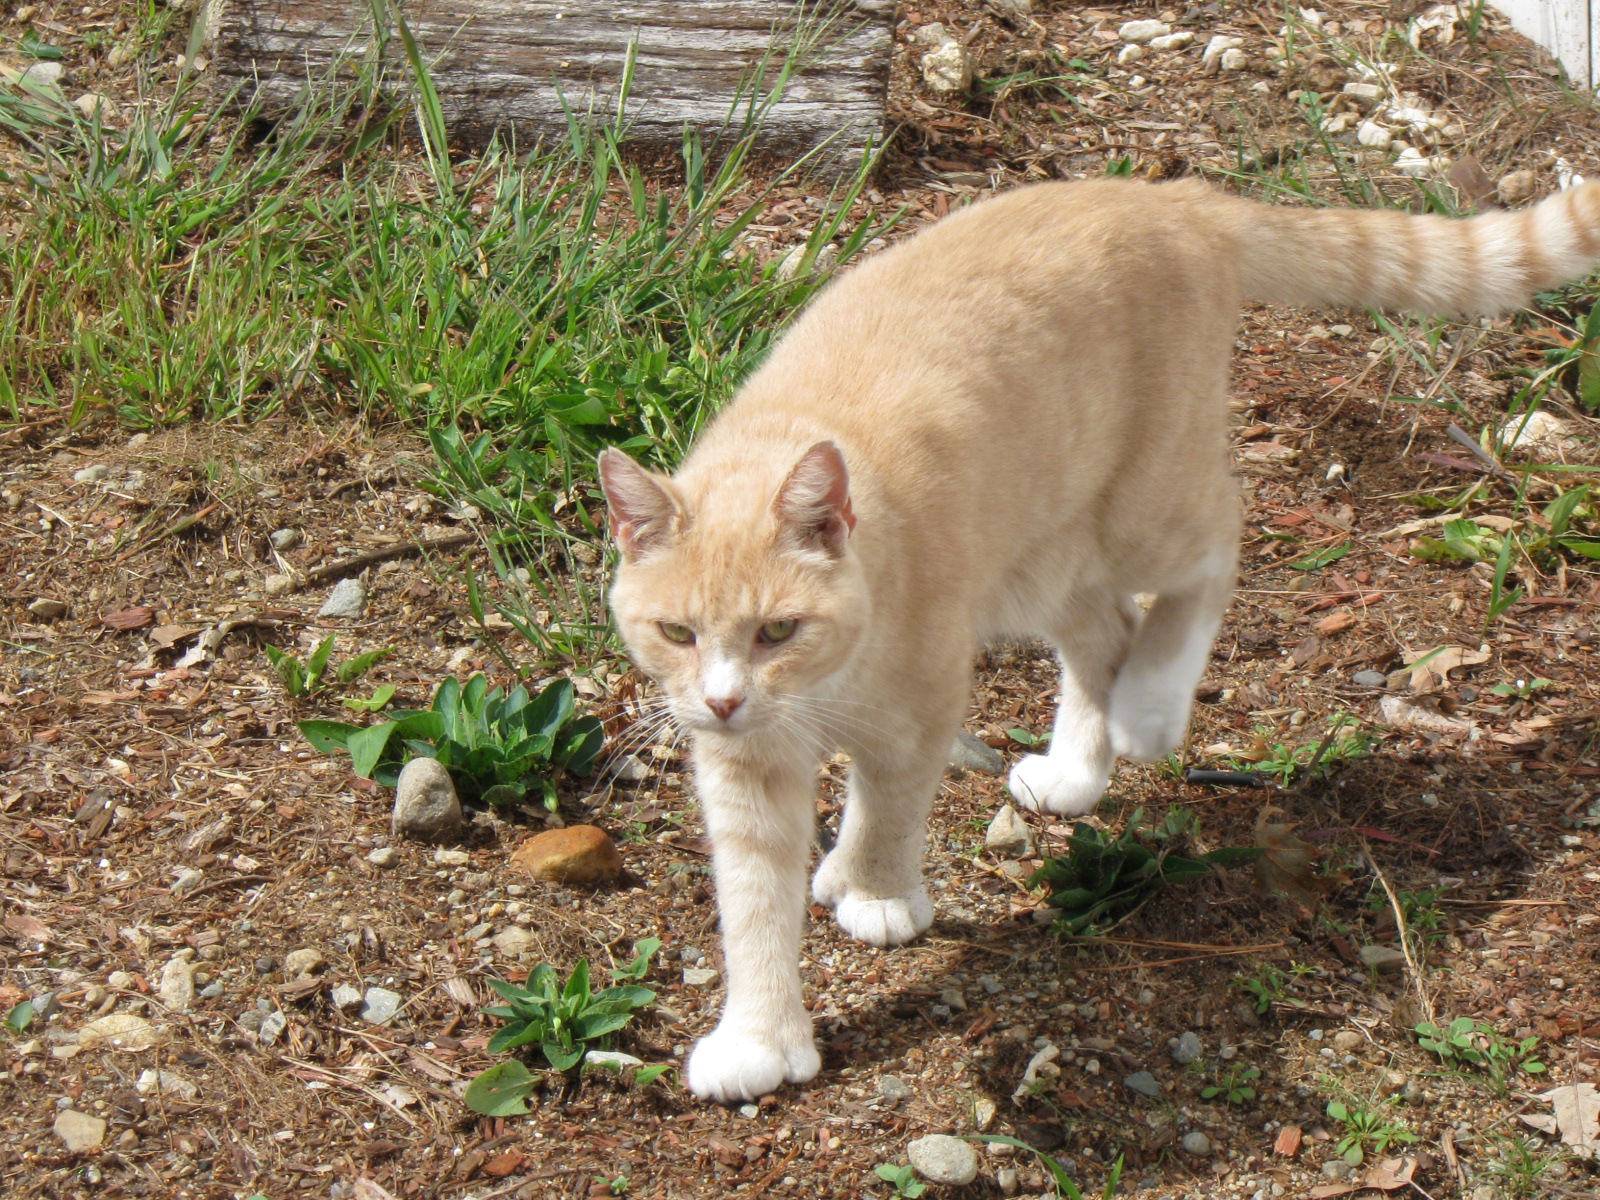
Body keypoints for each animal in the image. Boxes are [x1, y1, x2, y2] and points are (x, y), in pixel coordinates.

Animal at [595, 173, 1600, 1107]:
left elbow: (890, 810)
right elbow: (753, 902)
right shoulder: (745, 765)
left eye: (778, 629)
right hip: (1043, 553)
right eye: (677, 632)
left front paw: (877, 892)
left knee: (1218, 540)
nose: (724, 698)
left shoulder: (919, 709)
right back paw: (1079, 769)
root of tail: (1171, 196)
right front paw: (761, 1037)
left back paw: (1150, 709)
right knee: (1104, 632)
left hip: (1142, 510)